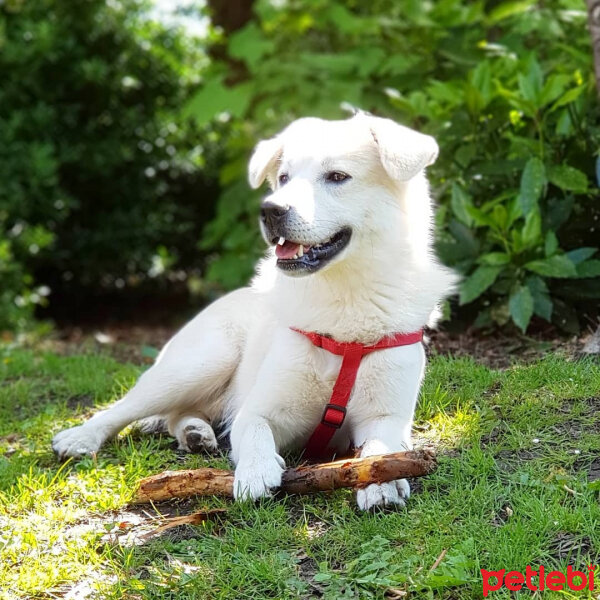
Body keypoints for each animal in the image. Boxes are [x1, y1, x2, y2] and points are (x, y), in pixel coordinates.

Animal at [54, 113, 458, 510]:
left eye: (337, 177)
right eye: (284, 178)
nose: (270, 209)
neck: (343, 300)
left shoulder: (386, 417)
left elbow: (381, 449)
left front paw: (381, 483)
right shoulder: (260, 410)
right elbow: (253, 432)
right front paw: (255, 472)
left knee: (177, 415)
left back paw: (194, 432)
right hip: (200, 363)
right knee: (125, 407)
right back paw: (81, 437)